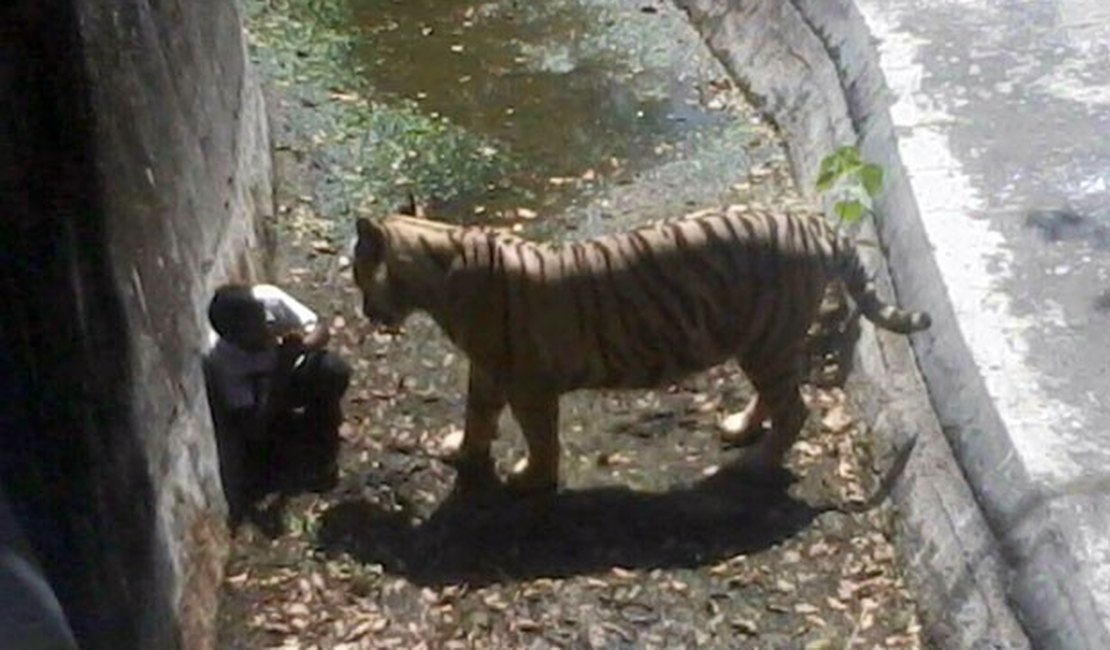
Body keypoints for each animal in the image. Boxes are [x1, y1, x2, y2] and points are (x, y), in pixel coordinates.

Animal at [352, 205, 927, 492]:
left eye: (358, 274)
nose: (363, 311)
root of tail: (815, 225)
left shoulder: (528, 384)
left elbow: (540, 438)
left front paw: (530, 479)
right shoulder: (490, 371)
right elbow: (477, 415)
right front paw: (463, 452)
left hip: (768, 341)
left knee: (795, 408)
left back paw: (756, 463)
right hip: (762, 344)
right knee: (777, 397)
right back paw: (740, 428)